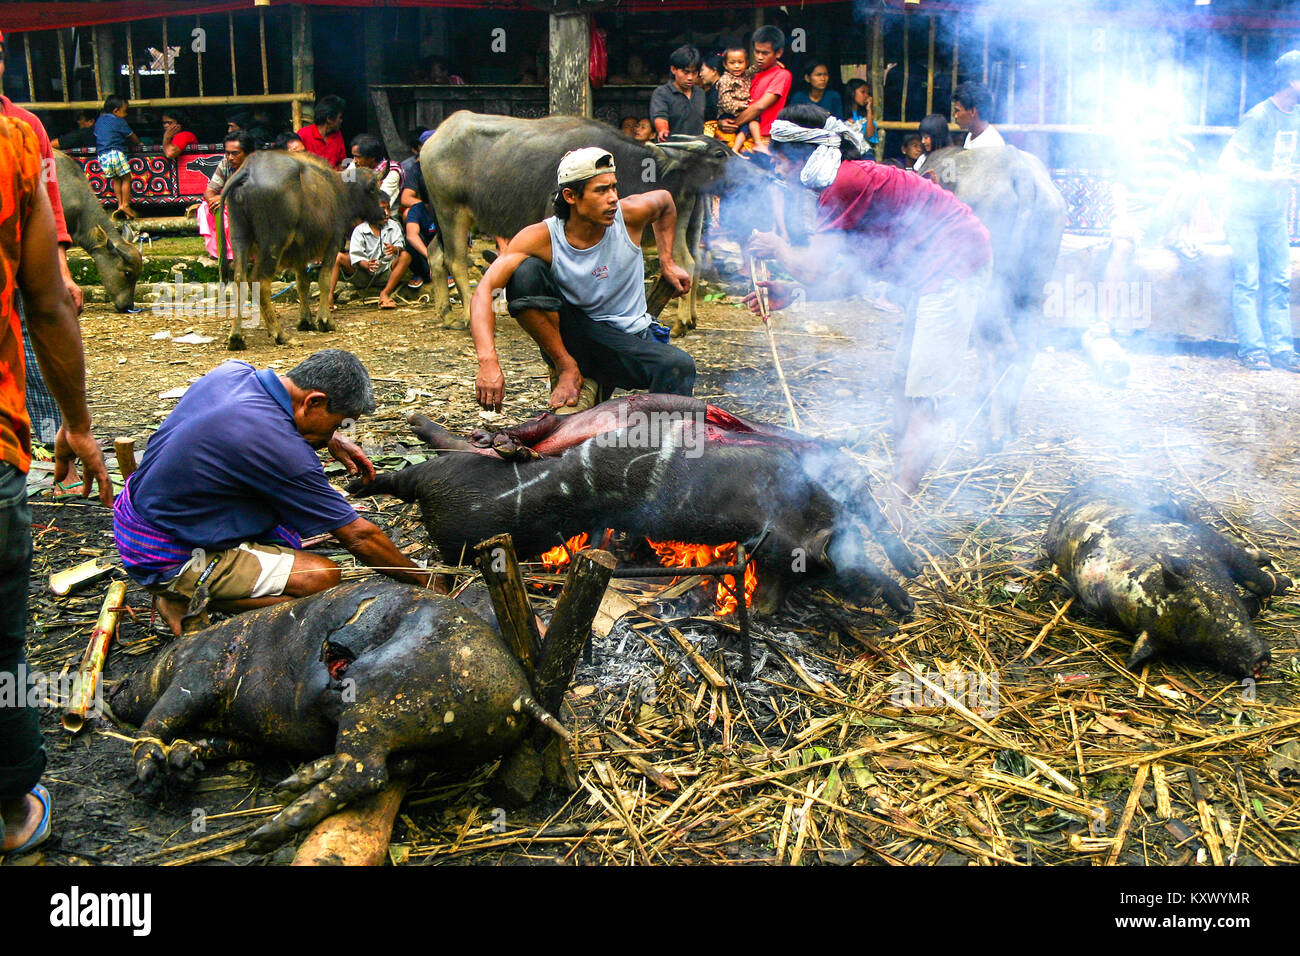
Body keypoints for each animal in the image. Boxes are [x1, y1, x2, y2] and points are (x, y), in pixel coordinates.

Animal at [220, 152, 382, 351]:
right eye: (375, 188)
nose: (384, 214)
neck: (339, 190)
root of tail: (248, 170)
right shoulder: (334, 242)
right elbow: (324, 279)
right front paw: (325, 321)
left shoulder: (300, 252)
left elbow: (302, 284)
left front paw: (305, 321)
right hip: (274, 242)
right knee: (259, 281)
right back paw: (280, 334)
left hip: (239, 236)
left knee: (239, 279)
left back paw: (237, 337)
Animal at [421, 110, 759, 335]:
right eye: (720, 153)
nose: (756, 172)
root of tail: (435, 139)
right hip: (451, 210)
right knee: (455, 259)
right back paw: (468, 317)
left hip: (445, 214)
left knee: (435, 254)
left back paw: (446, 314)